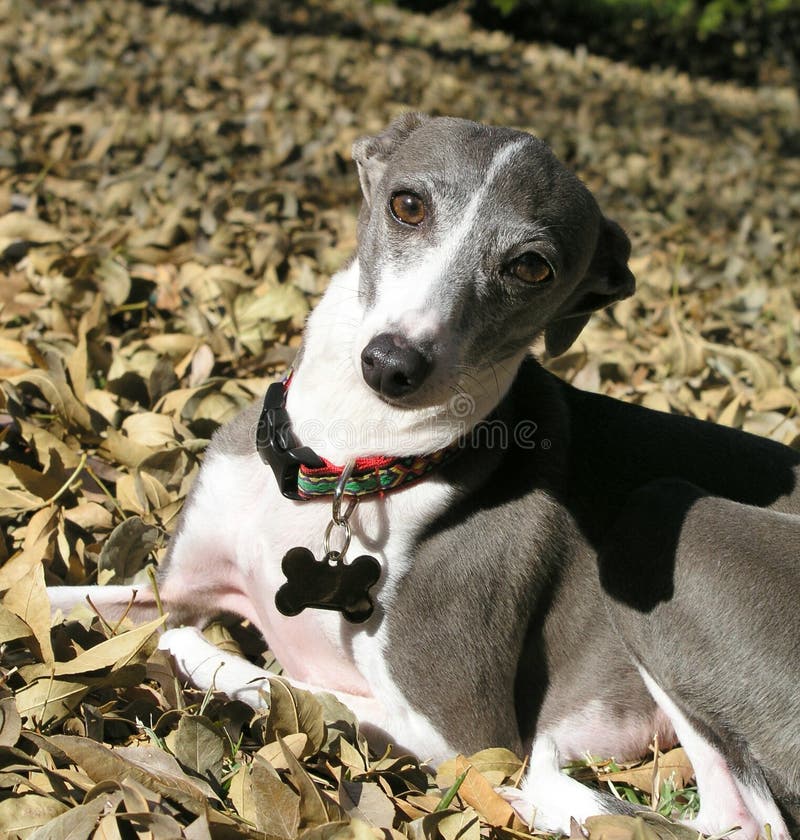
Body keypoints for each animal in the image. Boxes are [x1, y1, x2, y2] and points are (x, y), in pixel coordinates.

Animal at [50, 113, 800, 840]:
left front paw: (196, 651)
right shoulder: (179, 583)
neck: (350, 464)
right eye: (407, 205)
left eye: (532, 266)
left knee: (741, 821)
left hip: (666, 521)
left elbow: (271, 678)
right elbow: (76, 602)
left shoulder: (456, 733)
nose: (391, 364)